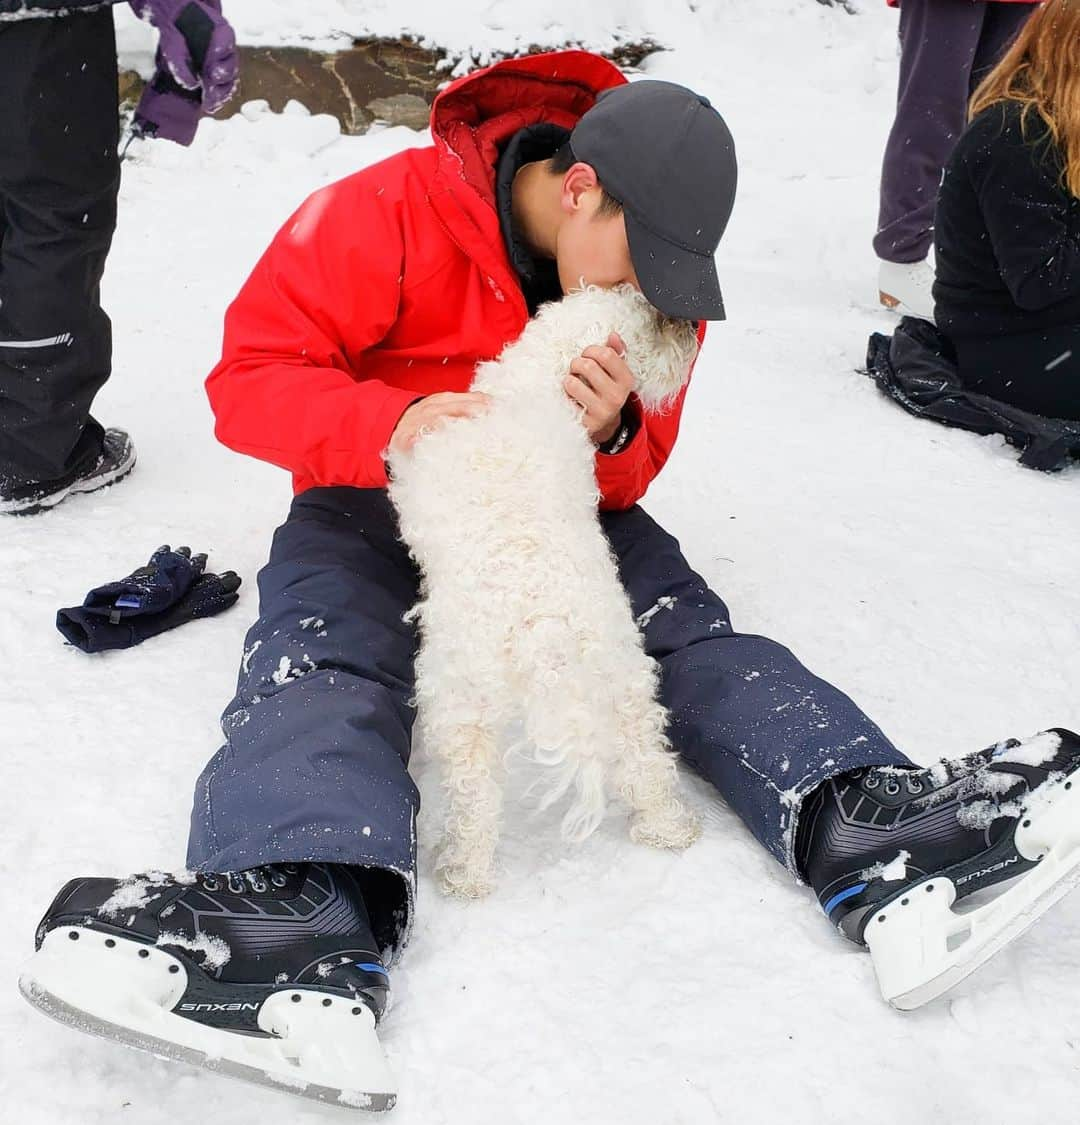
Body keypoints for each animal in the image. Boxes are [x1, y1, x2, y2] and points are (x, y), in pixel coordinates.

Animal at [387, 283, 702, 895]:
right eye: (652, 321)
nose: (689, 335)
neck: (535, 383)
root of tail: (541, 622)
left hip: (457, 700)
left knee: (475, 799)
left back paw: (463, 873)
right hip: (621, 673)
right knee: (645, 758)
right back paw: (667, 829)